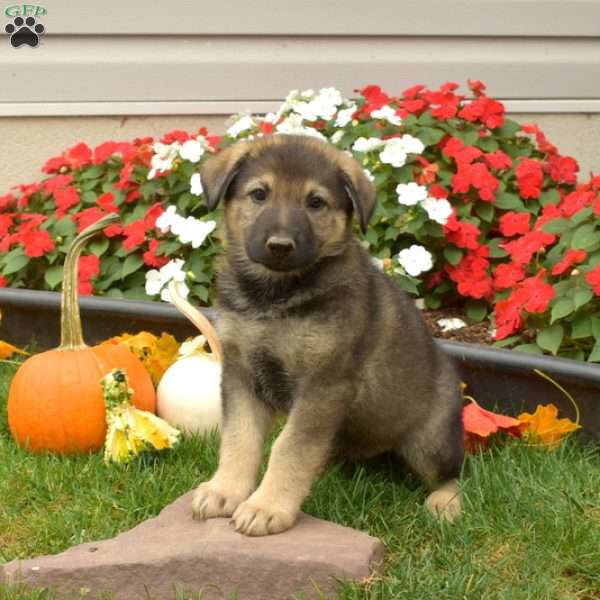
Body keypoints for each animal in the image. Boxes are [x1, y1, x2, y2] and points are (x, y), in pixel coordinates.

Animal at [192, 135, 464, 536]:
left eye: (315, 202)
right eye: (259, 194)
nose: (280, 246)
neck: (275, 296)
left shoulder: (323, 384)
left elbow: (290, 447)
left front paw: (267, 506)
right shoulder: (241, 374)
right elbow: (239, 438)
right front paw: (225, 491)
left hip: (430, 442)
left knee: (454, 475)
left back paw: (445, 502)